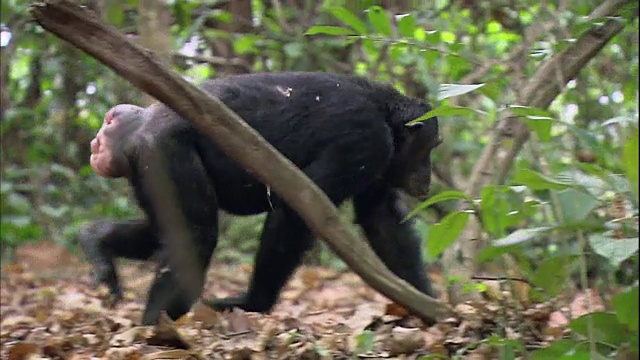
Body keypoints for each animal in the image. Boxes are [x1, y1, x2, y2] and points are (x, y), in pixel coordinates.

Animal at [79, 71, 440, 324]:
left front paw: (429, 308)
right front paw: (254, 303)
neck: (385, 115)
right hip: (165, 150)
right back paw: (158, 325)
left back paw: (99, 244)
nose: (428, 174)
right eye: (429, 150)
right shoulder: (367, 141)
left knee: (167, 231)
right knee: (195, 238)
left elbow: (383, 222)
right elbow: (297, 211)